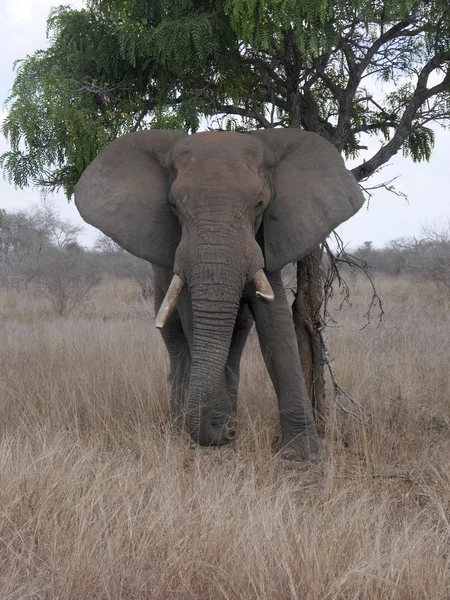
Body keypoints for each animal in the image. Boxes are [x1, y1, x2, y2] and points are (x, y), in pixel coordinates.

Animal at [74, 129, 366, 462]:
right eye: (173, 205)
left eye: (259, 203)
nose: (229, 433)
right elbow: (195, 321)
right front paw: (220, 428)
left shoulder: (264, 241)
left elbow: (275, 324)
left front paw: (303, 455)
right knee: (178, 343)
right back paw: (180, 426)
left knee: (236, 340)